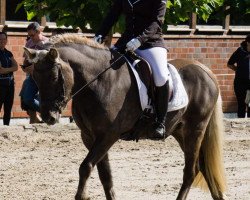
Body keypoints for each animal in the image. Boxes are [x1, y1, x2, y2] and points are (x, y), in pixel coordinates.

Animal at [24, 33, 228, 199]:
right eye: (35, 78)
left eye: (54, 77)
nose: (48, 117)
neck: (99, 82)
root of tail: (206, 71)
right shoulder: (89, 137)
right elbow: (105, 175)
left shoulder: (108, 135)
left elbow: (85, 167)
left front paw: (82, 196)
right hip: (180, 131)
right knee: (203, 166)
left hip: (195, 129)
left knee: (191, 171)